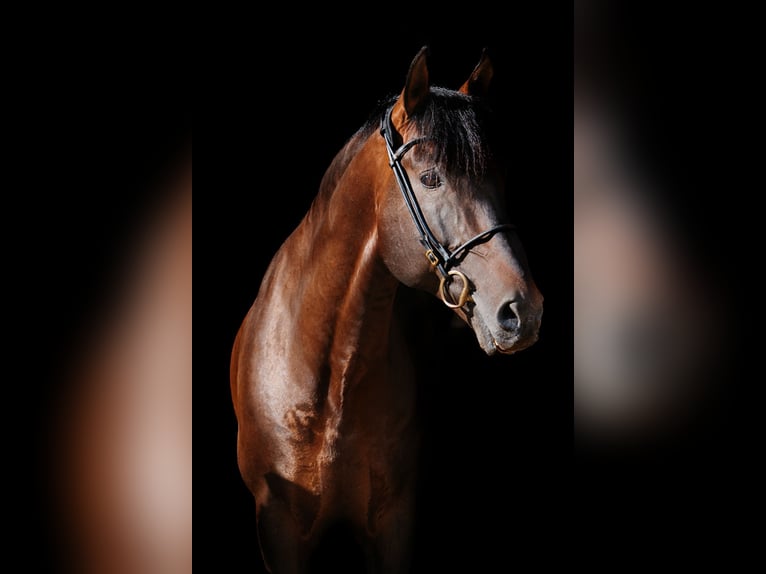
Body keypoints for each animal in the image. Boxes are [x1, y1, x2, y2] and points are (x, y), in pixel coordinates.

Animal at [230, 46, 543, 573]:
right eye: (432, 178)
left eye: (500, 177)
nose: (523, 310)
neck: (329, 382)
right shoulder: (278, 529)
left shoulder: (393, 524)